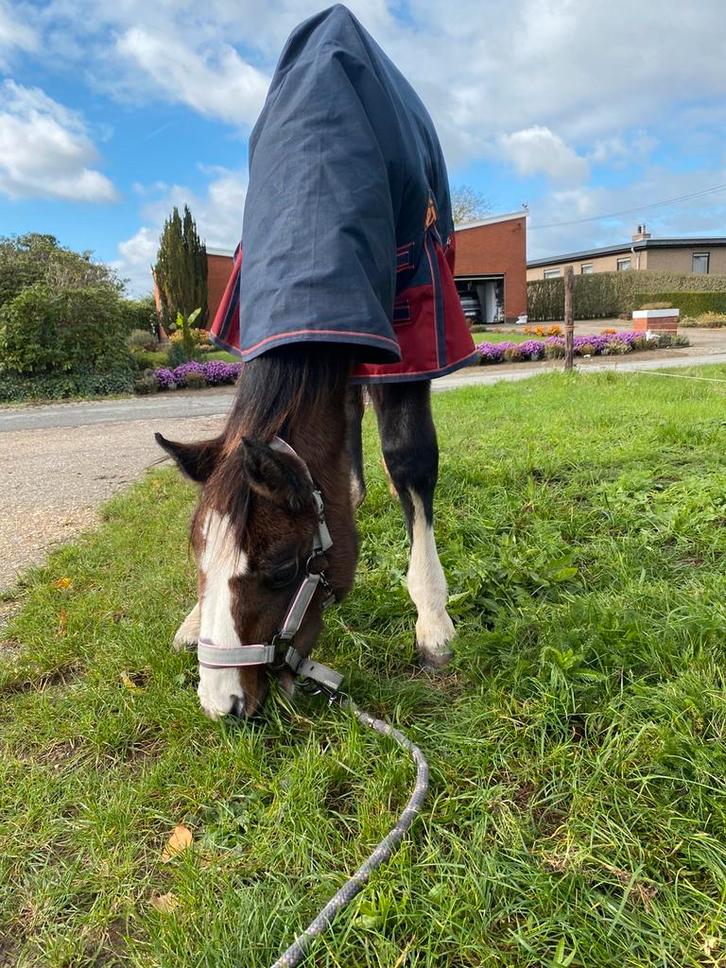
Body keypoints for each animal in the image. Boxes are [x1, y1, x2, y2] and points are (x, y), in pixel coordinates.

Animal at [156, 5, 476, 719]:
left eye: (280, 568)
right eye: (196, 559)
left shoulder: (411, 324)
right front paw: (191, 617)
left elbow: (410, 459)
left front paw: (433, 620)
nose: (222, 703)